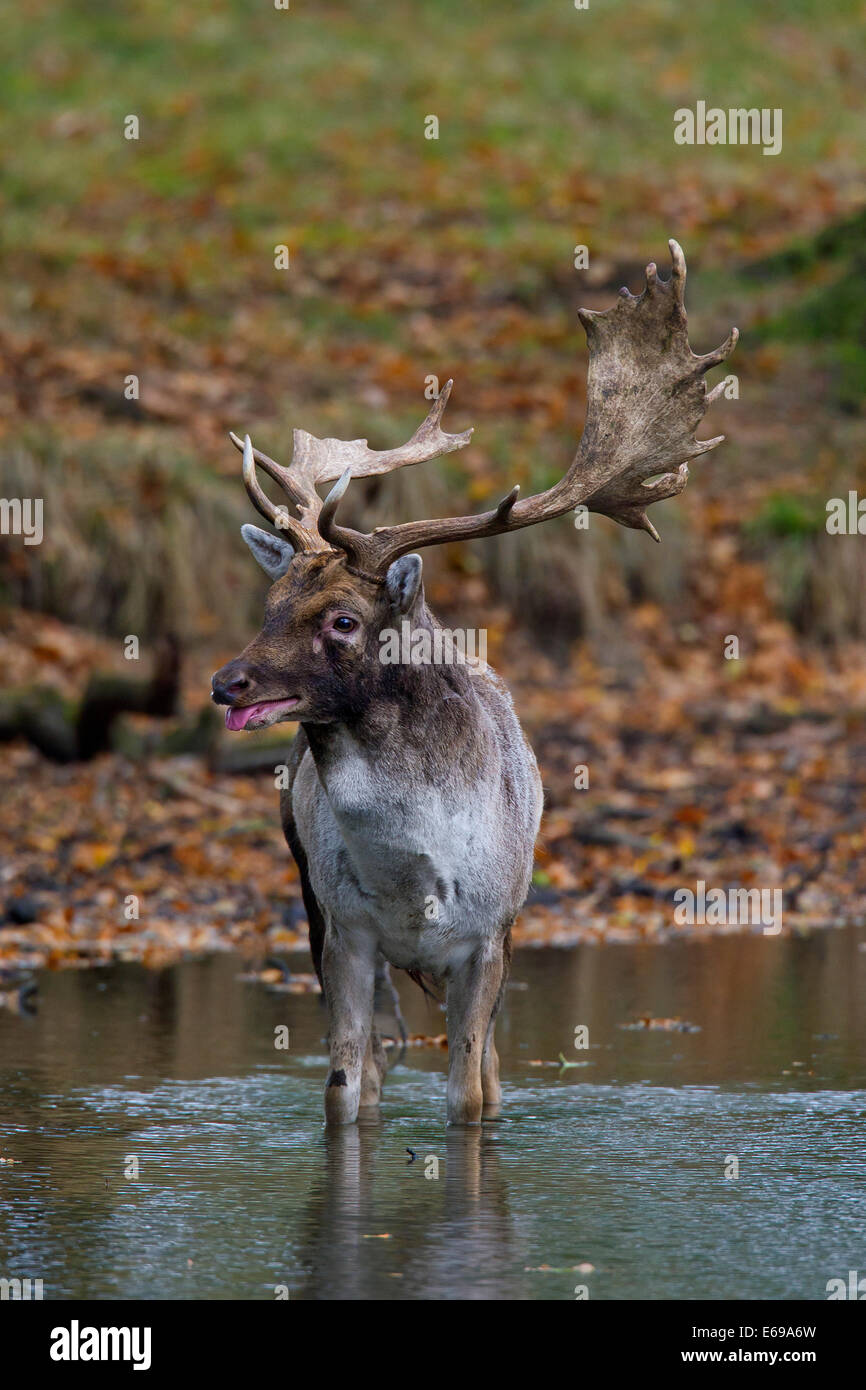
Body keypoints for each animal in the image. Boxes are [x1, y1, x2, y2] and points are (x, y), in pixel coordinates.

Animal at [214, 244, 733, 1123]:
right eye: (270, 603)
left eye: (343, 620)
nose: (228, 682)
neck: (411, 872)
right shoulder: (343, 931)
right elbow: (342, 1094)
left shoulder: (492, 935)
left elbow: (469, 1096)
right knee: (376, 1067)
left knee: (488, 1071)